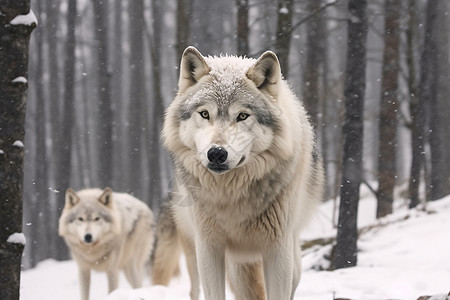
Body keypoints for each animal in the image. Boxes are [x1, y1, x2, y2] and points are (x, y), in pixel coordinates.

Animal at [153, 47, 326, 300]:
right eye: (204, 114)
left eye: (242, 116)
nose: (216, 153)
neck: (231, 197)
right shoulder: (209, 249)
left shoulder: (277, 251)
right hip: (210, 258)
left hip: (287, 259)